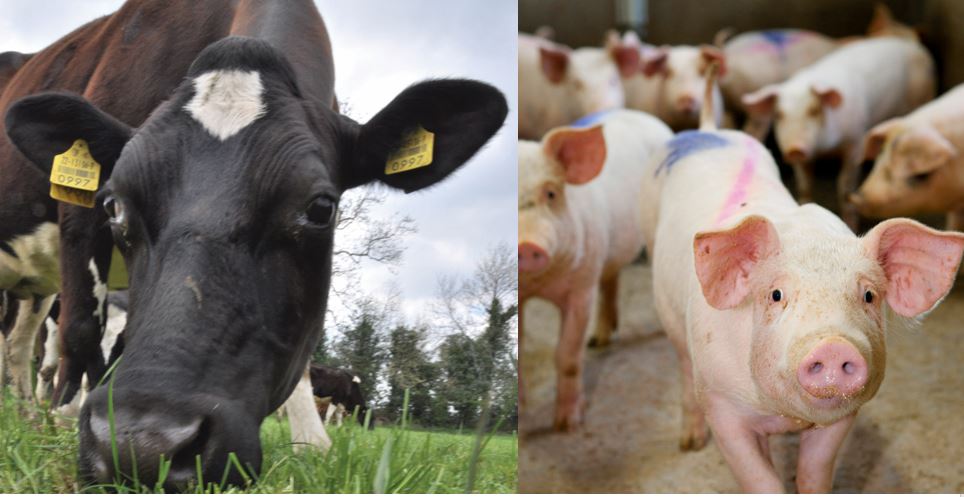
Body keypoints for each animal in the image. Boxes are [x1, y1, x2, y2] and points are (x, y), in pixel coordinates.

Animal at [519, 110, 672, 430]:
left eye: (551, 193)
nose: (526, 245)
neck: (542, 283)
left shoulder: (583, 285)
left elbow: (567, 354)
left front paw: (568, 424)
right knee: (612, 278)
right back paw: (598, 340)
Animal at [742, 35, 935, 228]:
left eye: (814, 111)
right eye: (779, 115)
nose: (795, 149)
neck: (825, 149)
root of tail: (911, 44)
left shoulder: (856, 140)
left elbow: (845, 185)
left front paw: (851, 225)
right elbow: (805, 183)